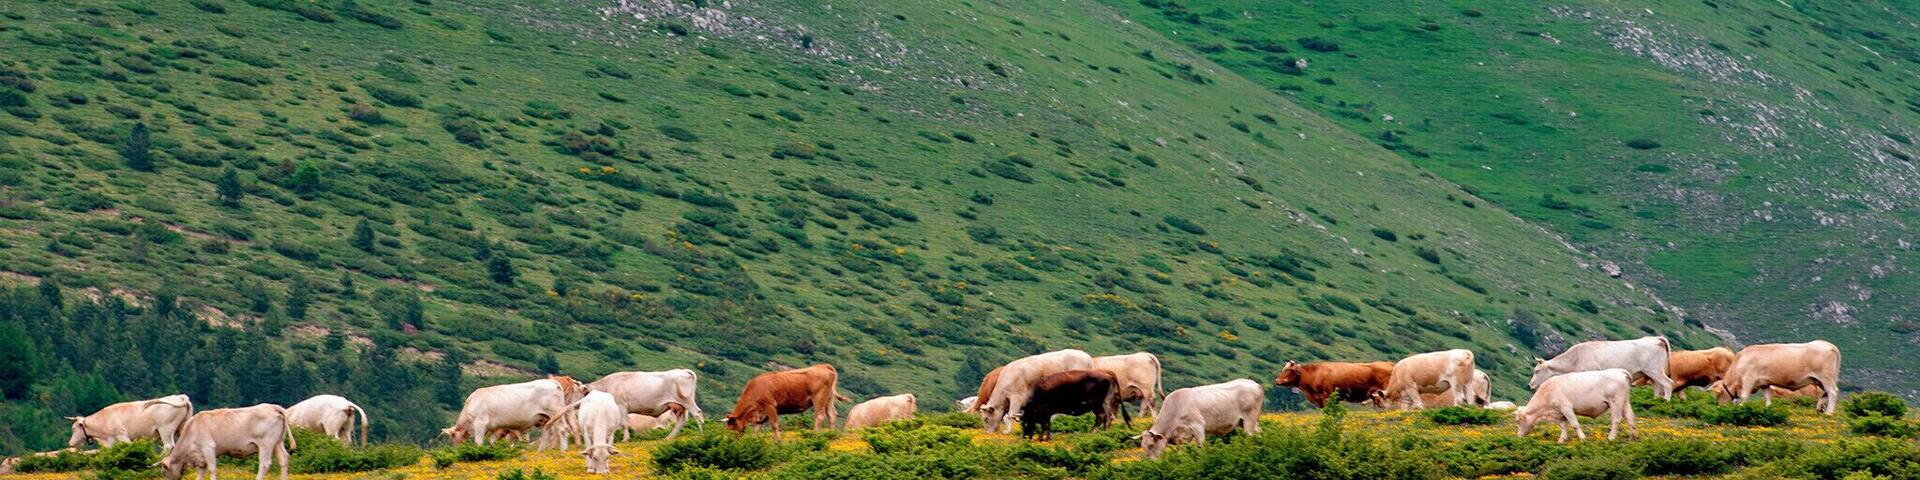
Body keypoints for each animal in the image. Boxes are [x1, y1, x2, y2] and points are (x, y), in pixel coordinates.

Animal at [157, 404, 296, 480]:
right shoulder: (201, 457)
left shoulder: (208, 447)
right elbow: (200, 473)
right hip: (278, 443)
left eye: (164, 472)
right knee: (284, 459)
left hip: (266, 444)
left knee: (265, 464)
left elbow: (212, 469)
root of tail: (272, 406)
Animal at [443, 378, 574, 451]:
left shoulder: (480, 423)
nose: (456, 451)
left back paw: (563, 449)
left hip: (556, 413)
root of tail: (552, 382)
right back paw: (540, 451)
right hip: (544, 418)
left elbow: (479, 441)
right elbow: (491, 440)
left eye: (453, 438)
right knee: (548, 433)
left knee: (562, 429)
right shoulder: (494, 427)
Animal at [1530, 336, 1674, 400]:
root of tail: (1655, 339)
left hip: (1654, 370)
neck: (1575, 358)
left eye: (1537, 371)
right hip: (1651, 373)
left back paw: (1666, 401)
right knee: (1657, 387)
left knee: (1667, 383)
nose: (1530, 384)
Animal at [1711, 341, 1842, 414]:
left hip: (1825, 377)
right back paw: (1819, 408)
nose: (1719, 407)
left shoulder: (1749, 379)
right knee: (1826, 393)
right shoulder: (1764, 383)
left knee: (1832, 392)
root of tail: (1828, 344)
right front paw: (1768, 409)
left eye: (1718, 395)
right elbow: (1768, 397)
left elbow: (1744, 396)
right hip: (1820, 380)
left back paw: (1829, 412)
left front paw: (1741, 407)